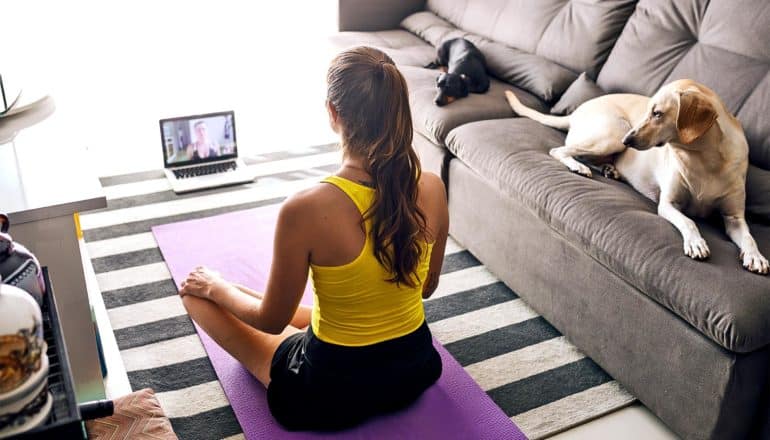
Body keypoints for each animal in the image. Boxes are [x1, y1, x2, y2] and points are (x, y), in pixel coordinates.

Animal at [508, 78, 764, 272]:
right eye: (649, 110)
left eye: (657, 113)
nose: (627, 141)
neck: (703, 159)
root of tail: (577, 110)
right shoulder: (668, 204)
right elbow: (689, 221)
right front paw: (696, 242)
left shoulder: (734, 217)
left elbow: (749, 236)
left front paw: (756, 256)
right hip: (611, 134)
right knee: (559, 150)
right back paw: (579, 167)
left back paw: (609, 169)